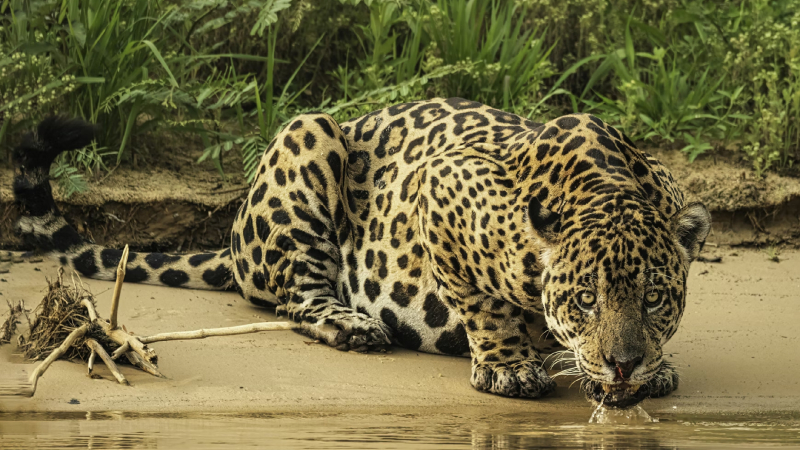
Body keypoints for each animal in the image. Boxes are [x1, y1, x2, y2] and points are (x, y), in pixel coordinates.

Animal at [12, 98, 711, 408]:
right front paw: (510, 366)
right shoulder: (442, 183)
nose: (623, 364)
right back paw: (354, 325)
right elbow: (483, 305)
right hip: (308, 136)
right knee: (297, 298)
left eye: (654, 298)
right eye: (585, 299)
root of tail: (234, 237)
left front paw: (654, 368)